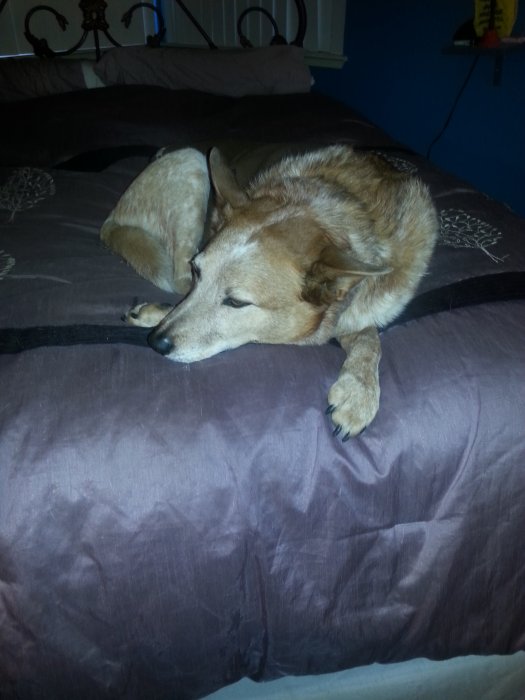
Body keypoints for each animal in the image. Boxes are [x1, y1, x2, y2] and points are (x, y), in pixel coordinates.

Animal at [103, 144, 438, 439]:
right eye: (200, 272)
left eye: (236, 302)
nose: (156, 343)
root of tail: (110, 223)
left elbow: (369, 336)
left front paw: (358, 393)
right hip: (192, 159)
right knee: (177, 277)